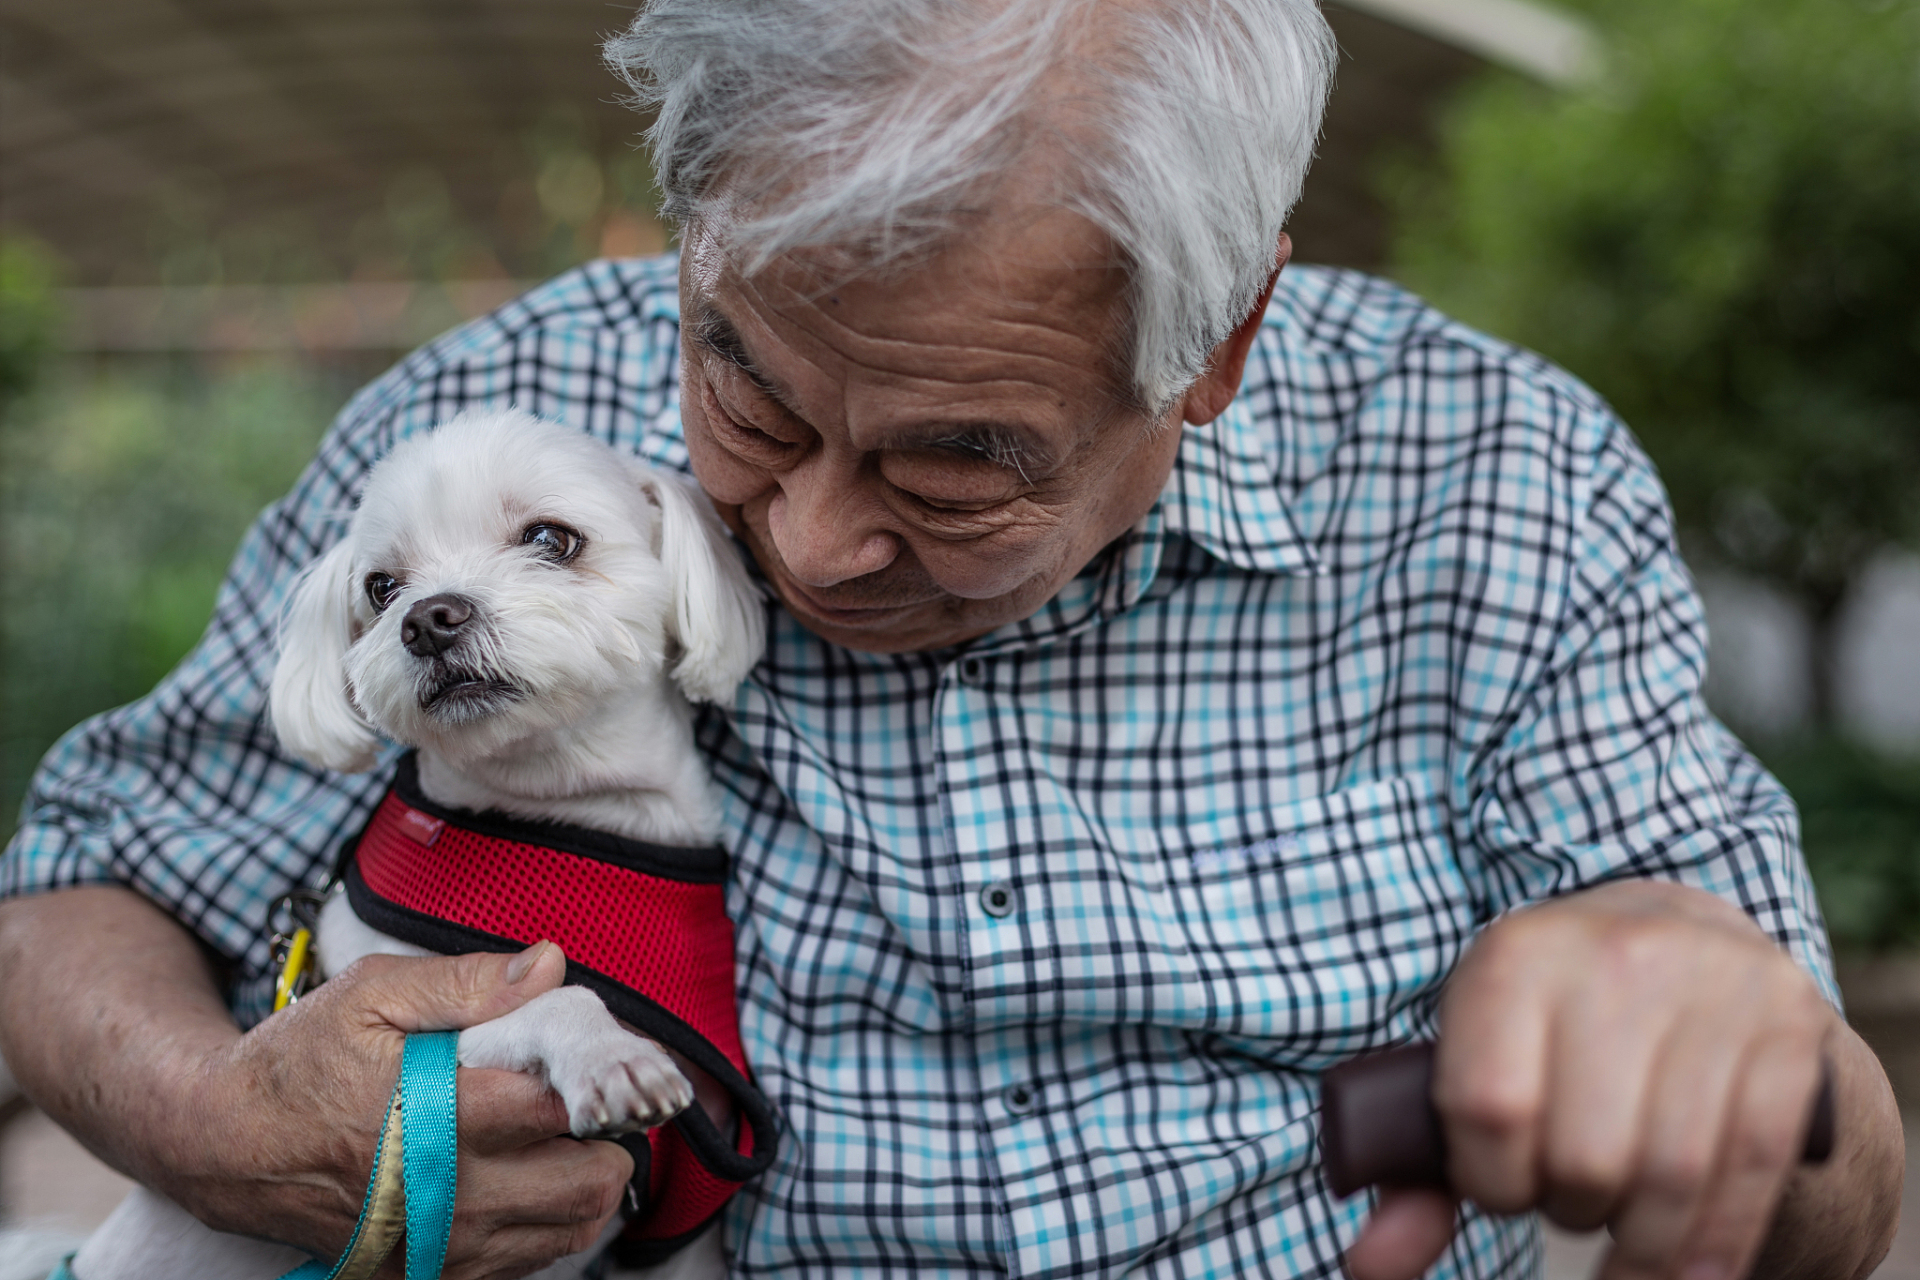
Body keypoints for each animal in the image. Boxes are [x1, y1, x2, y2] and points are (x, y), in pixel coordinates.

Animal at [74, 412, 764, 1280]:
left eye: (551, 538)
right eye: (381, 587)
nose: (429, 618)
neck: (564, 819)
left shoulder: (682, 1234)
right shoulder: (416, 1035)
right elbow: (554, 996)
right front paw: (609, 1054)